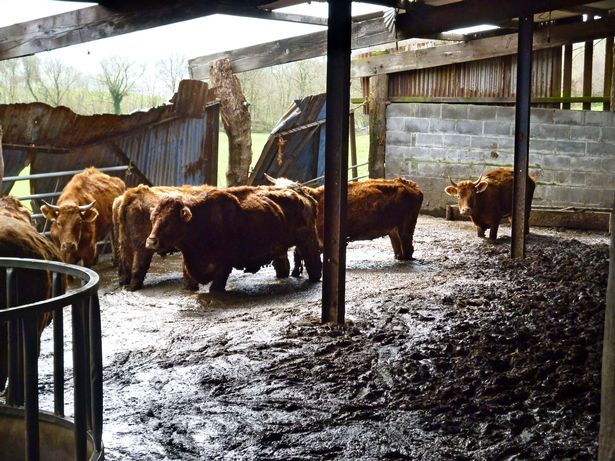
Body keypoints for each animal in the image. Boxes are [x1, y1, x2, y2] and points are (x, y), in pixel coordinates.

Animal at [146, 186, 322, 292]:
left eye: (169, 221)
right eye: (153, 218)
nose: (151, 241)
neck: (199, 219)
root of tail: (303, 193)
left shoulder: (223, 266)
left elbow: (216, 286)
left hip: (307, 241)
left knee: (314, 263)